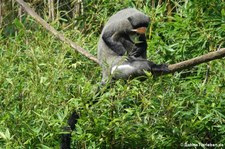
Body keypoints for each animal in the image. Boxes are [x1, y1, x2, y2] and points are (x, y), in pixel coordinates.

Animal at [60, 8, 170, 149]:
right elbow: (107, 36)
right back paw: (150, 66)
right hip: (114, 63)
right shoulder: (123, 24)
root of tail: (105, 71)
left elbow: (142, 43)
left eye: (141, 31)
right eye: (135, 31)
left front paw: (141, 46)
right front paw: (130, 54)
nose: (137, 36)